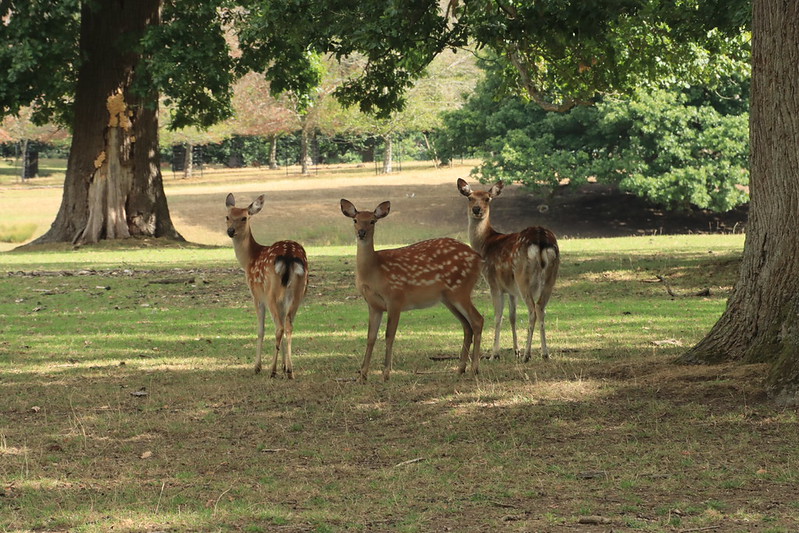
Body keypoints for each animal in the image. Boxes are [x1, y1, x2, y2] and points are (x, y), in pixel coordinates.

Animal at [225, 193, 308, 378]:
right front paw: (285, 365)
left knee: (279, 327)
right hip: (298, 292)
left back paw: (272, 370)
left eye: (244, 217)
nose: (230, 231)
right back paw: (290, 371)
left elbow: (261, 330)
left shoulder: (257, 295)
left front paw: (257, 367)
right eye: (227, 216)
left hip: (271, 291)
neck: (249, 259)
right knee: (288, 326)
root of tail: (289, 256)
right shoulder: (283, 300)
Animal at [340, 199, 484, 382]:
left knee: (477, 320)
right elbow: (370, 337)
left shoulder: (395, 297)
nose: (362, 233)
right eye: (355, 220)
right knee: (467, 325)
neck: (374, 272)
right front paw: (362, 375)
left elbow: (389, 335)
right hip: (448, 297)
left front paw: (386, 374)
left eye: (372, 221)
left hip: (460, 289)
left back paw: (474, 369)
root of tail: (479, 258)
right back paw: (460, 369)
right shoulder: (373, 304)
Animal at [457, 178, 560, 362]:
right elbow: (513, 316)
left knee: (533, 310)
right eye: (470, 197)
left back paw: (527, 355)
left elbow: (498, 316)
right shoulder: (511, 289)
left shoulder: (494, 283)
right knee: (541, 308)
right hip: (551, 275)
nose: (477, 209)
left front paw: (494, 354)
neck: (485, 244)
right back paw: (545, 353)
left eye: (487, 198)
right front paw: (515, 350)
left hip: (522, 275)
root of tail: (541, 239)